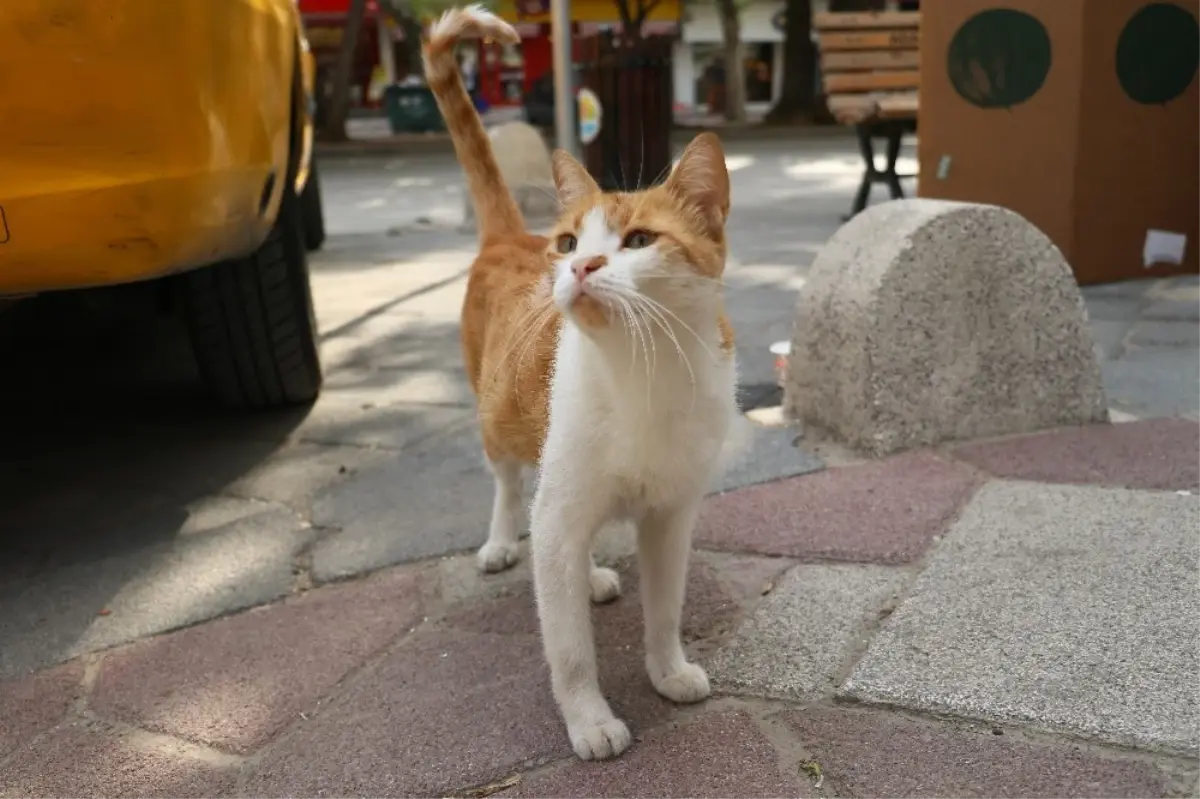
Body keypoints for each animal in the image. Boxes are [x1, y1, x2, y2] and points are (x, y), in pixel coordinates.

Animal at [424, 9, 739, 763]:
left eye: (641, 240)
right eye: (570, 242)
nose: (581, 266)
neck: (643, 371)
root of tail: (507, 238)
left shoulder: (671, 515)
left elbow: (665, 608)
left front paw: (668, 668)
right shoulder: (563, 505)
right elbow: (568, 648)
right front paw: (590, 718)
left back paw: (588, 573)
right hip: (499, 422)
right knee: (513, 490)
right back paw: (505, 540)